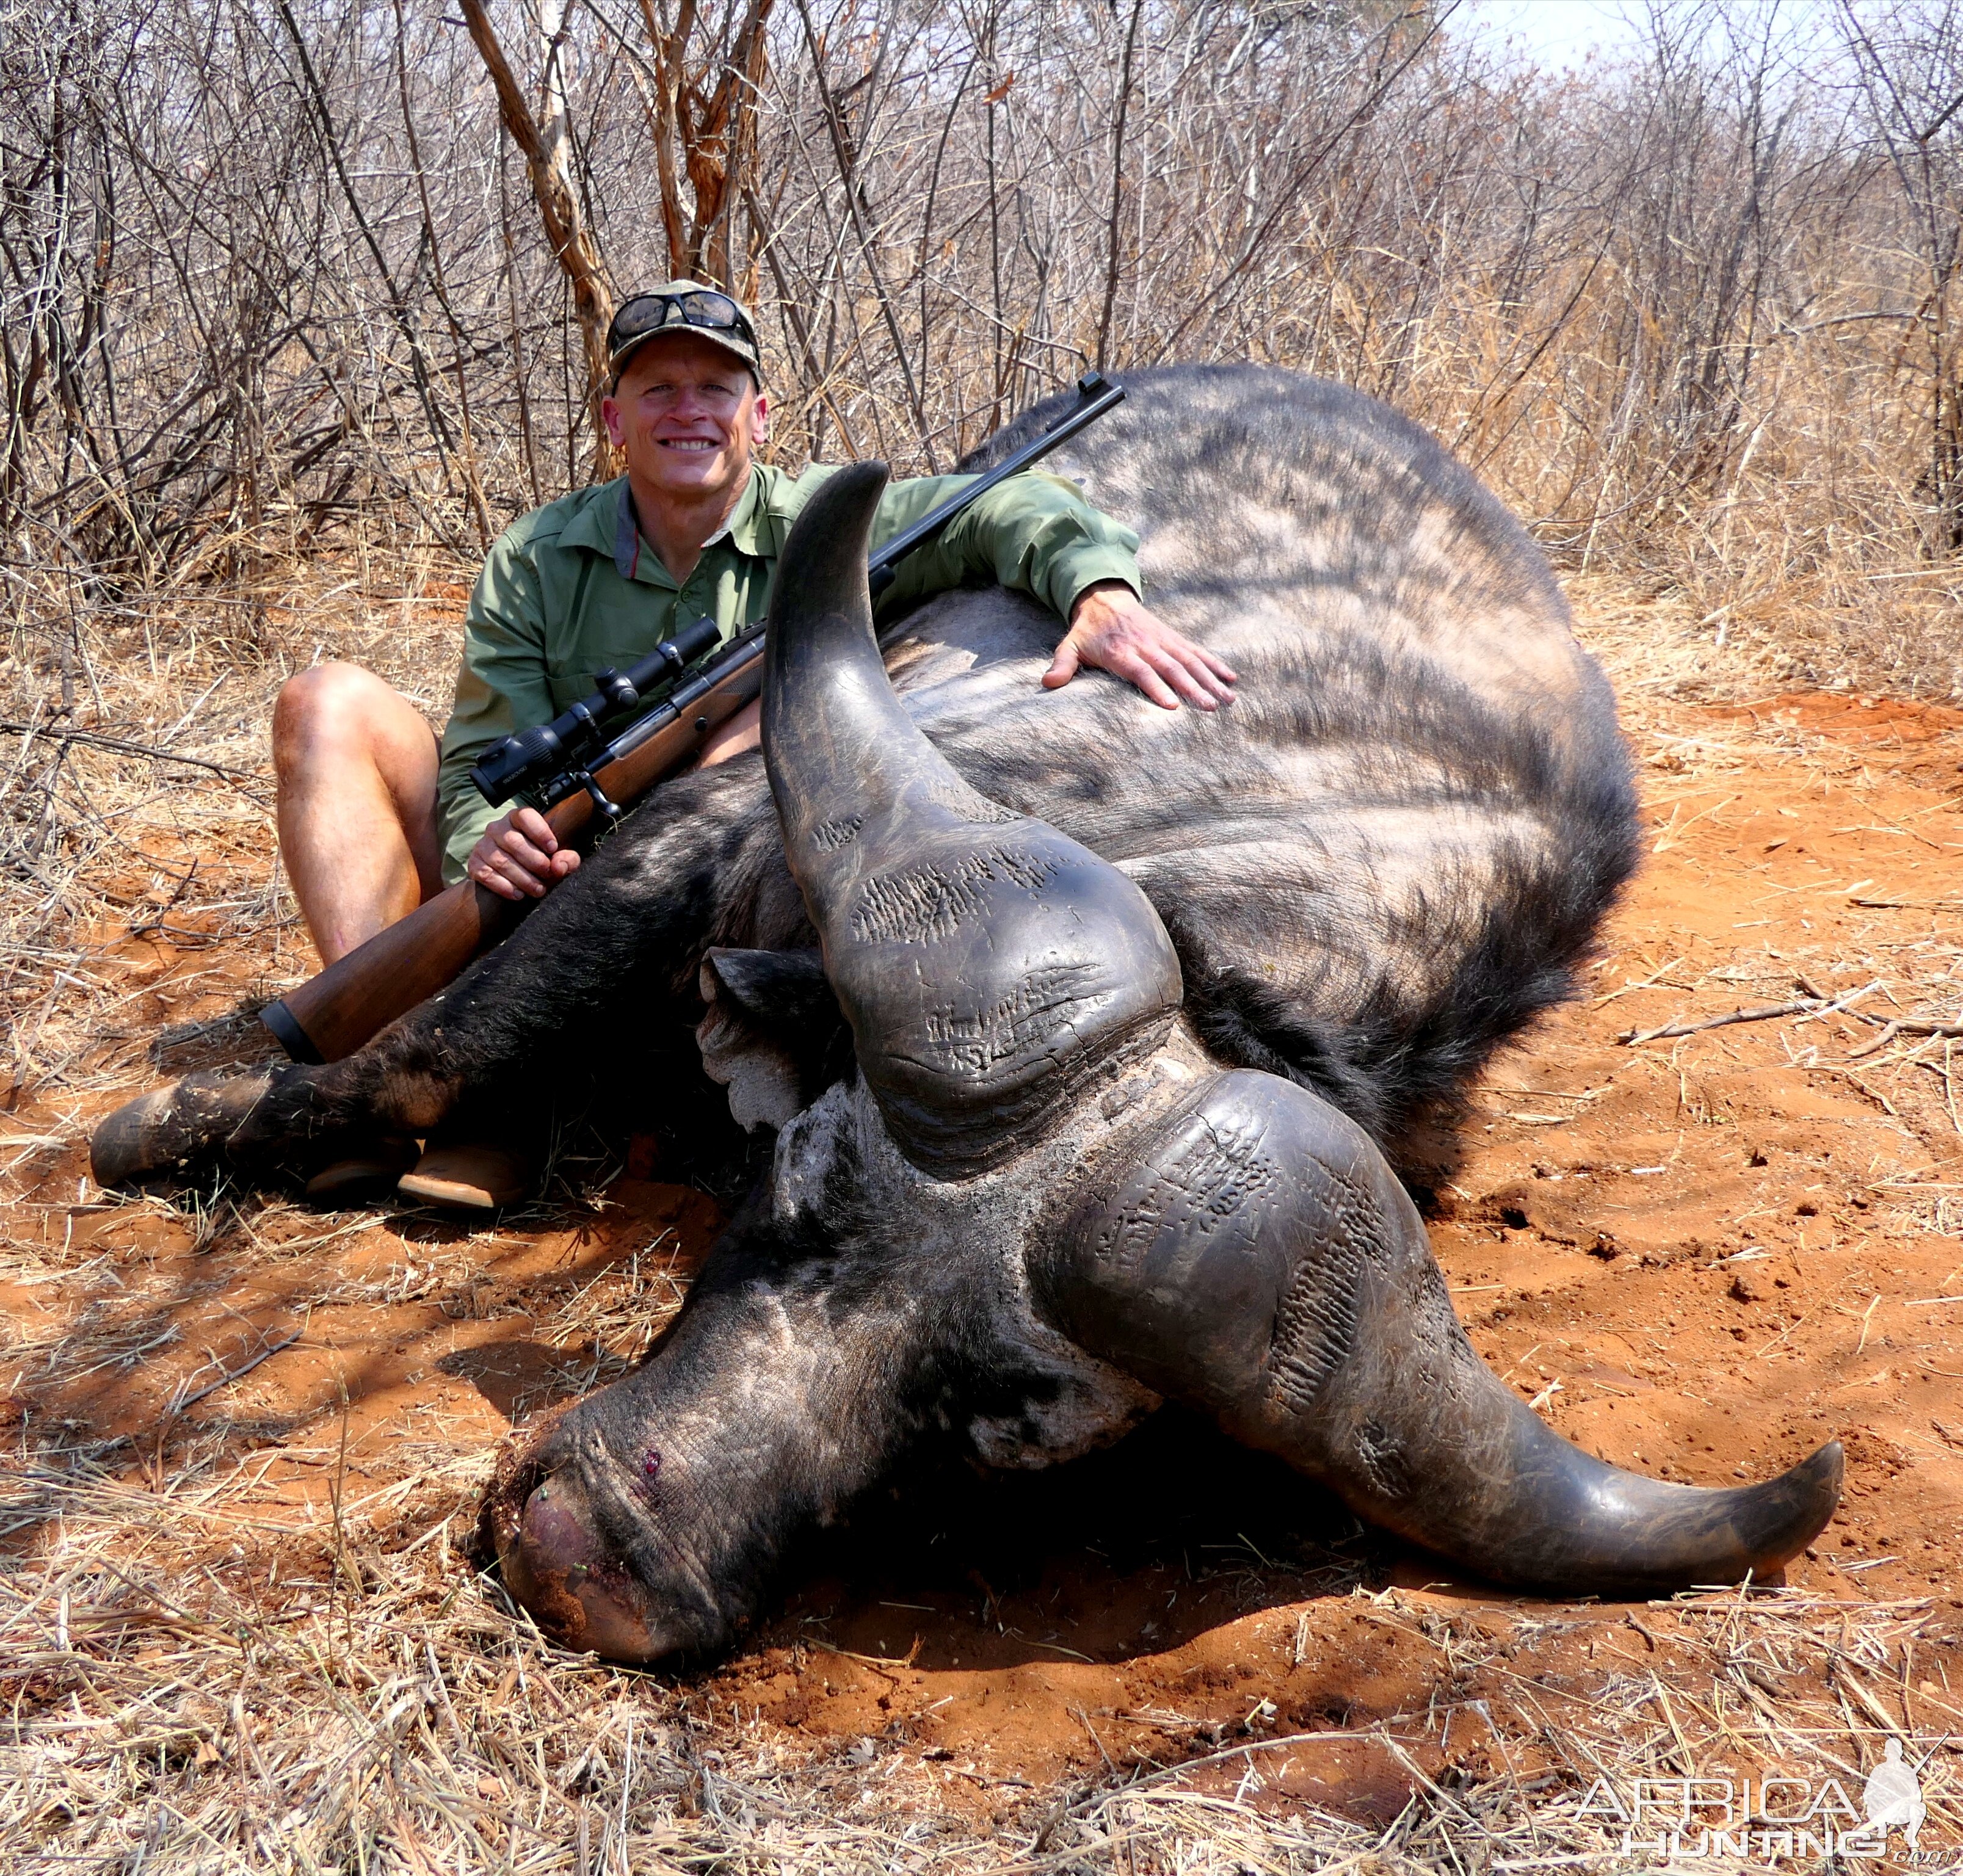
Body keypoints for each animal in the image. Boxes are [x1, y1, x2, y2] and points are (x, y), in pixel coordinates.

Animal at [92, 367, 1837, 1656]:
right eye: (797, 1185)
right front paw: (172, 1126)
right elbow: (425, 1053)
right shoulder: (684, 836)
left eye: (1002, 1431)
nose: (586, 1550)